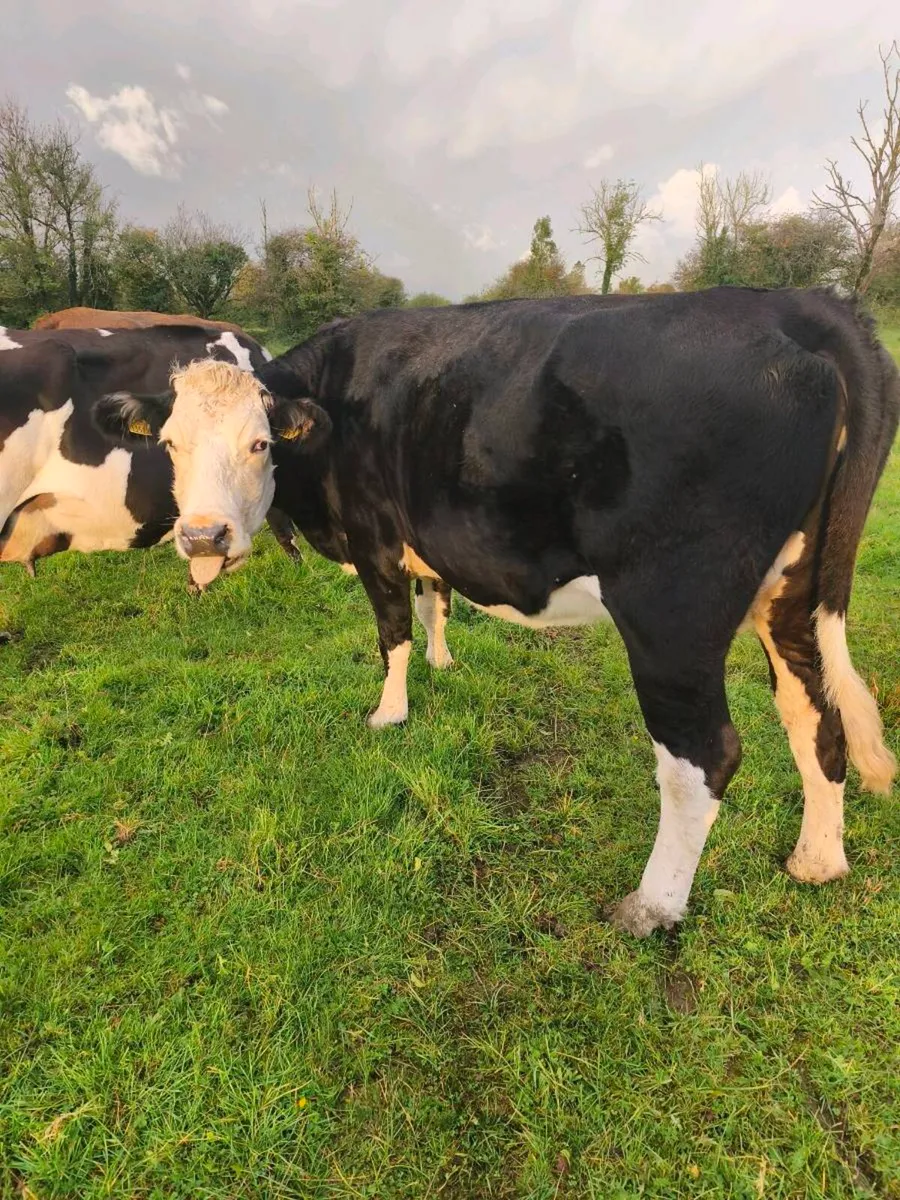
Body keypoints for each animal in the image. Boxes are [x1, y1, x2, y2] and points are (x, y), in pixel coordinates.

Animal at [94, 288, 899, 937]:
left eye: (260, 442)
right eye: (170, 444)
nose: (202, 536)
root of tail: (792, 303)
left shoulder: (376, 538)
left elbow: (392, 631)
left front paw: (390, 713)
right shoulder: (425, 543)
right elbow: (434, 606)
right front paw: (444, 663)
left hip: (671, 612)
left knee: (703, 756)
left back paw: (651, 907)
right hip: (793, 592)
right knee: (814, 712)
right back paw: (816, 860)